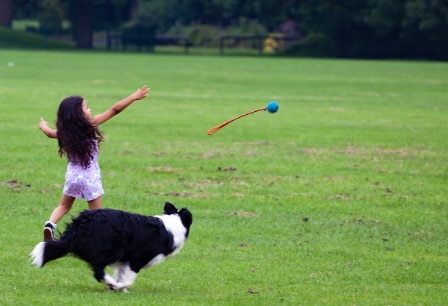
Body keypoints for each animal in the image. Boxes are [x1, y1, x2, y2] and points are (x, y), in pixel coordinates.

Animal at [31, 202, 192, 290]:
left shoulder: (124, 260)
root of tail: (82, 222)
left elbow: (121, 273)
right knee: (97, 269)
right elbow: (129, 279)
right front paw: (119, 286)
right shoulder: (137, 258)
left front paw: (120, 289)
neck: (172, 225)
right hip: (113, 249)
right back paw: (110, 282)